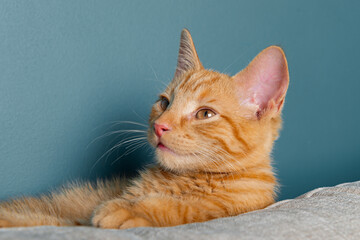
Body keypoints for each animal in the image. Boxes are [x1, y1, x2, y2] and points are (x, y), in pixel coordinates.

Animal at [0, 28, 288, 229]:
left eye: (205, 114)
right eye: (165, 103)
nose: (160, 126)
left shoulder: (237, 206)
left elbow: (187, 209)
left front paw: (132, 209)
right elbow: (49, 216)